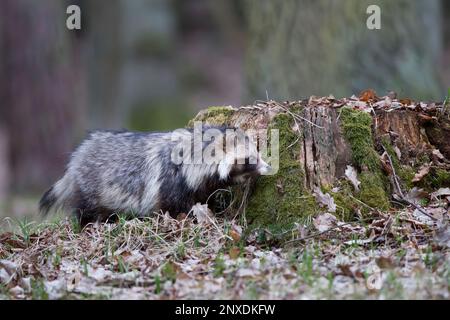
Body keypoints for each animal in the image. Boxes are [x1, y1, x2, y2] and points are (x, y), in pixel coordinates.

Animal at [39, 125, 270, 225]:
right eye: (250, 159)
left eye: (258, 153)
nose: (268, 168)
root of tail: (76, 159)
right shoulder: (171, 181)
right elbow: (174, 206)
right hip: (92, 186)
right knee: (86, 210)